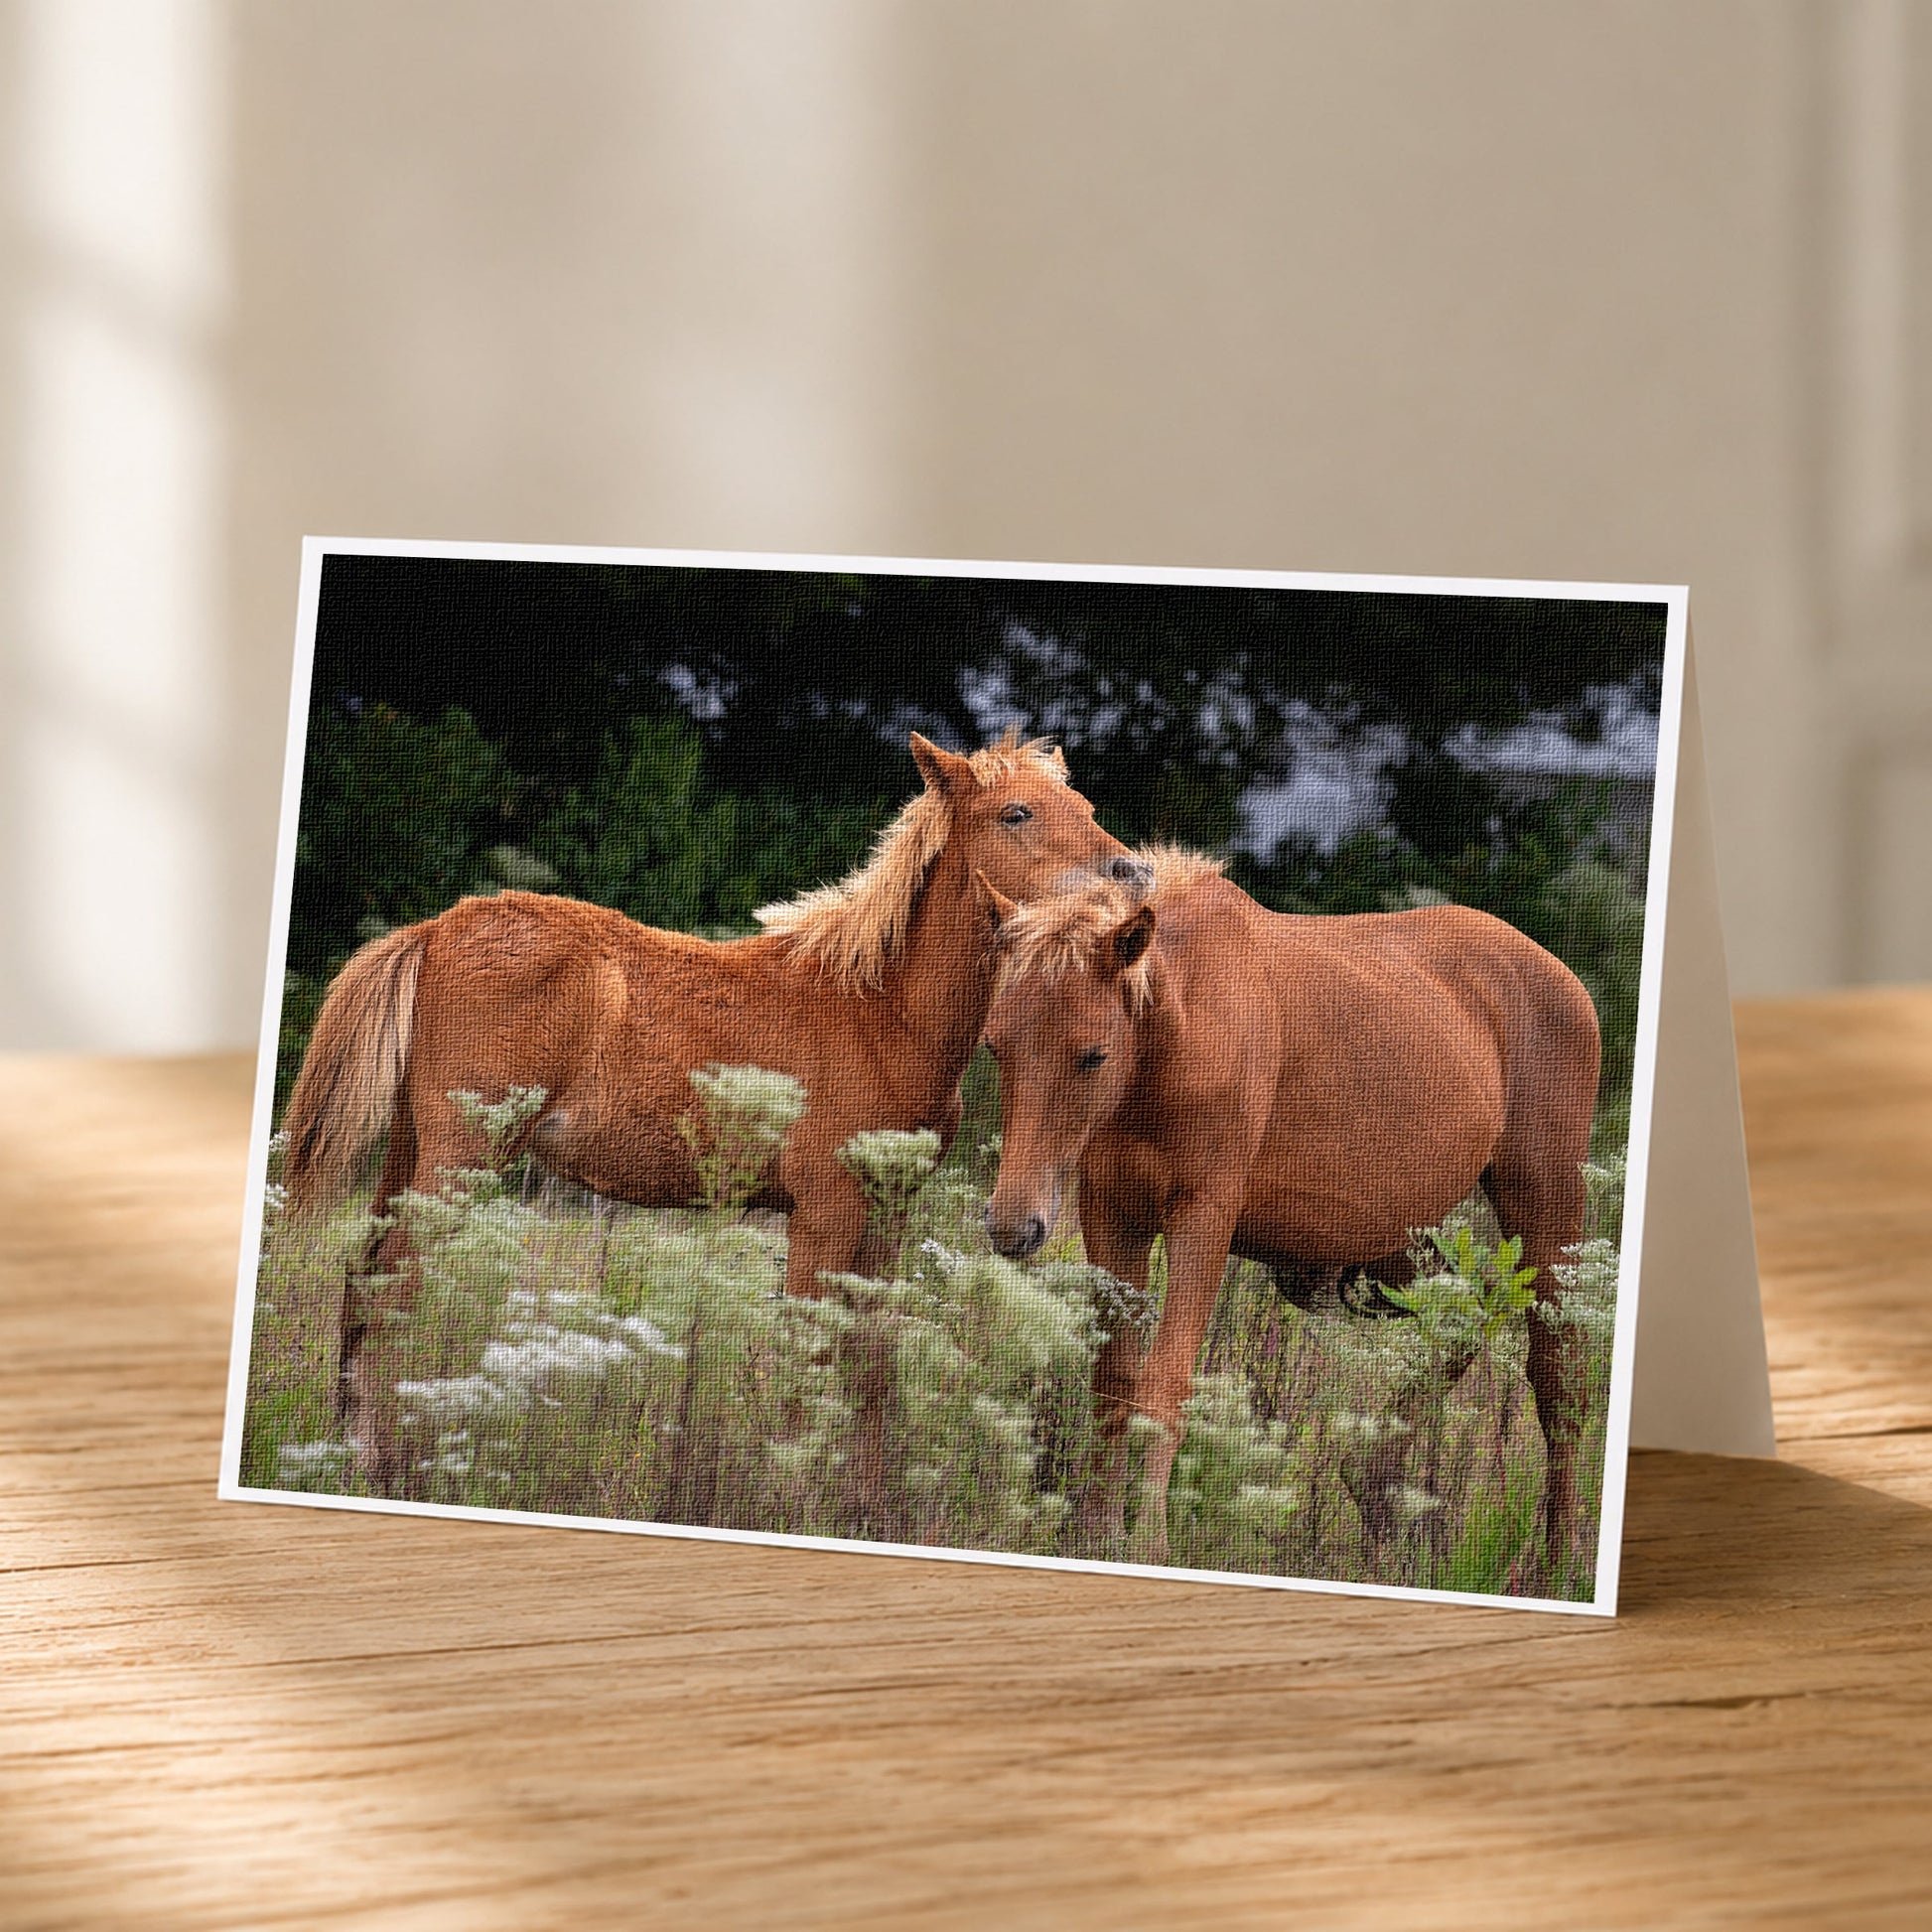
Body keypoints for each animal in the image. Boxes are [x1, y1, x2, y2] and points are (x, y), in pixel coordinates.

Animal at [282, 730, 1148, 1491]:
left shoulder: (887, 1212)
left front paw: (862, 1505)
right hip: (460, 1158)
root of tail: (436, 928)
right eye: (1016, 813)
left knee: (363, 1286)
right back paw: (375, 1467)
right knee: (392, 1292)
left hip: (410, 1152)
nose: (1132, 874)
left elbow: (869, 1363)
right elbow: (806, 1358)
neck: (879, 1011)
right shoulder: (823, 1212)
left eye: (1082, 801)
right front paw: (791, 1498)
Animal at [979, 847, 1602, 1587]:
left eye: (1094, 1054)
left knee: (1555, 1380)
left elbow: (1164, 1383)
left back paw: (1560, 1561)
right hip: (1402, 1242)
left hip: (1543, 1209)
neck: (1177, 1034)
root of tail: (1564, 980)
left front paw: (1148, 1541)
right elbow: (1113, 1378)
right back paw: (1376, 1492)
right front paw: (1096, 1532)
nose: (1012, 1226)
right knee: (1462, 1318)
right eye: (995, 1046)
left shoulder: (1203, 1218)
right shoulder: (1111, 1213)